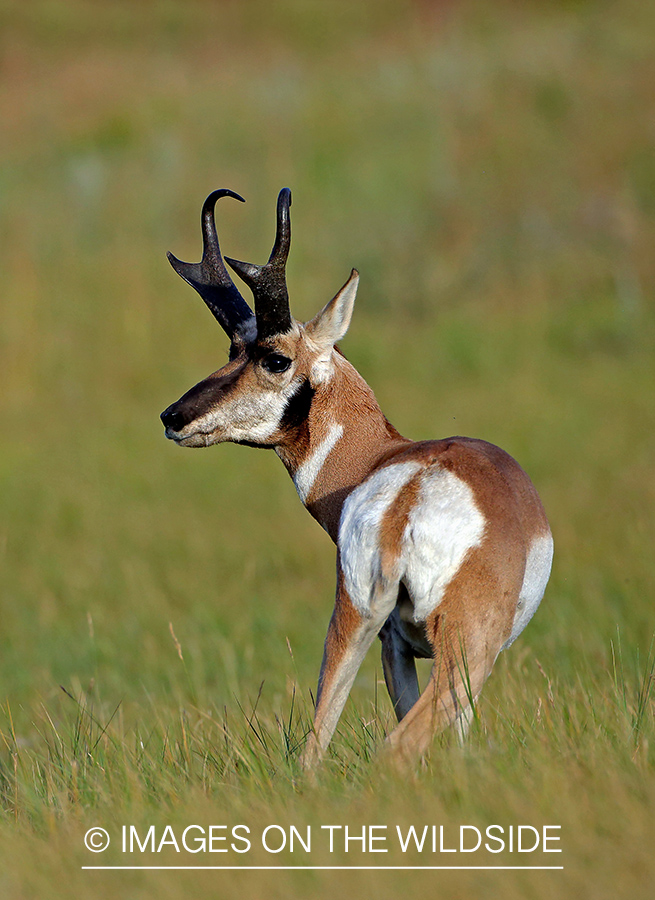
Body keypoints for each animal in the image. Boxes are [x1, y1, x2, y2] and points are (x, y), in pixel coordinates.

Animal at [160, 190, 552, 768]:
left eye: (269, 357)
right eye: (235, 351)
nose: (174, 416)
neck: (380, 454)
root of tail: (408, 497)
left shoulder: (392, 643)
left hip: (354, 623)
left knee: (312, 750)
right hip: (465, 651)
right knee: (398, 746)